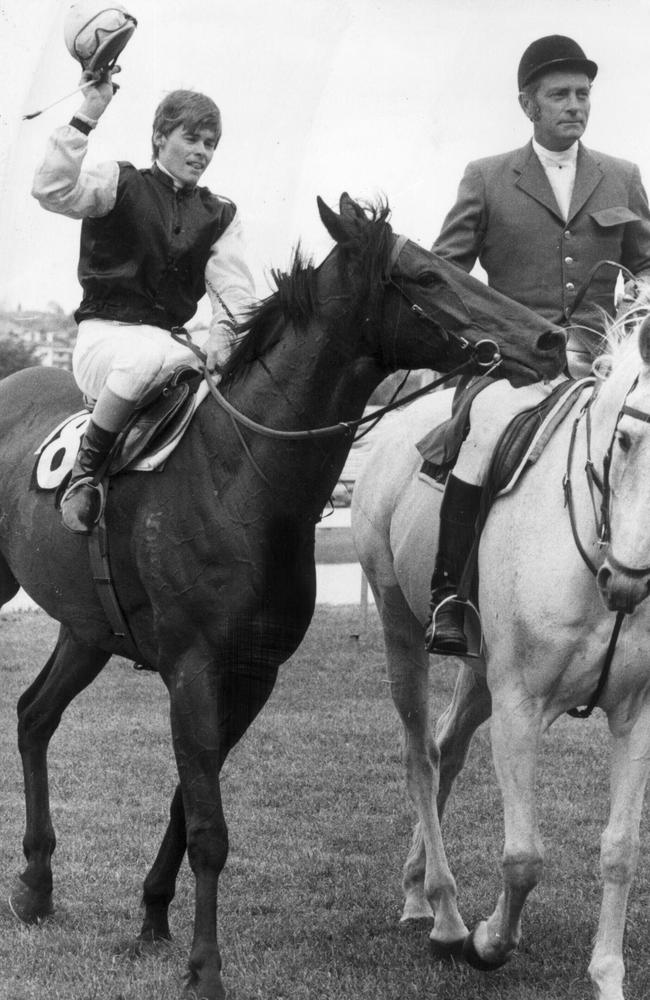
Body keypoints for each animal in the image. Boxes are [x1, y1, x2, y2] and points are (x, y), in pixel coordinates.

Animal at [1, 195, 560, 1000]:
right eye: (427, 274)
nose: (550, 338)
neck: (239, 477)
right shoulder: (193, 669)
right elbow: (208, 828)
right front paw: (205, 966)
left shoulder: (251, 673)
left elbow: (188, 803)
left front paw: (153, 916)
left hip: (85, 629)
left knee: (34, 715)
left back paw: (36, 885)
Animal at [352, 314, 650, 1000]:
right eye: (624, 440)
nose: (626, 582)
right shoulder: (520, 707)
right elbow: (523, 858)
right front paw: (489, 941)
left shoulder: (637, 715)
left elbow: (620, 849)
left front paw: (607, 975)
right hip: (400, 628)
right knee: (421, 753)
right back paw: (445, 918)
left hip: (480, 673)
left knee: (447, 748)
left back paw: (420, 893)